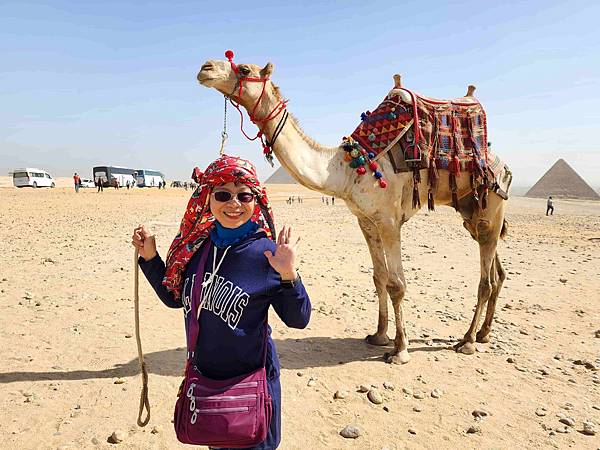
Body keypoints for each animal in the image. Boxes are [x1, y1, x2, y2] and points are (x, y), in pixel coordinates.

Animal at [197, 58, 510, 364]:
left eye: (244, 69)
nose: (205, 68)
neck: (346, 168)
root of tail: (503, 165)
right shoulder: (366, 220)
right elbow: (379, 277)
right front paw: (379, 335)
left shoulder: (389, 220)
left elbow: (397, 284)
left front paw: (400, 350)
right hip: (471, 213)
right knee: (498, 272)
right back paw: (483, 333)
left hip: (490, 208)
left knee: (486, 279)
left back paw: (468, 341)